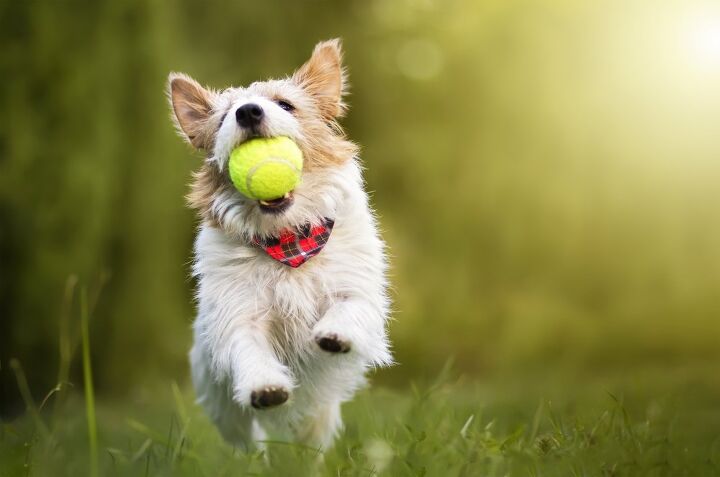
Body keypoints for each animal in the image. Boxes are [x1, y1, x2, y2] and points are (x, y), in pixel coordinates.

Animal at [167, 38, 394, 450]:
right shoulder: (240, 312)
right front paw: (265, 386)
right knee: (248, 444)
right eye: (223, 118)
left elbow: (350, 307)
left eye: (285, 104)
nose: (248, 111)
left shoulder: (358, 289)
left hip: (319, 419)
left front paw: (335, 333)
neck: (288, 239)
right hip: (228, 414)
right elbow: (249, 348)